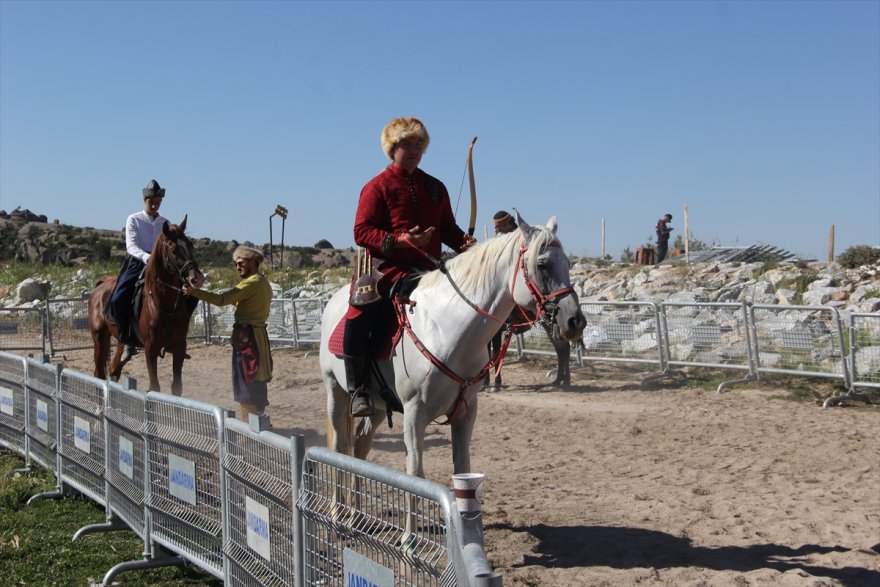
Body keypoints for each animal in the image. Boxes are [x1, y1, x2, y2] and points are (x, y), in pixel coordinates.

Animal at [86, 216, 203, 396]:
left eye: (190, 245)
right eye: (173, 250)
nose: (196, 279)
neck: (164, 304)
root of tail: (100, 286)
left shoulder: (179, 348)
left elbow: (176, 387)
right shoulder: (151, 349)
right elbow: (154, 387)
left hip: (120, 342)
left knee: (113, 370)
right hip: (99, 337)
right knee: (99, 373)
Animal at [318, 214, 584, 480]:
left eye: (567, 263)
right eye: (542, 265)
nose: (575, 320)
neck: (443, 330)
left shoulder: (465, 414)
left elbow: (462, 467)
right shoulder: (414, 415)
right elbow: (416, 476)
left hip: (381, 405)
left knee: (360, 446)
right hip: (336, 391)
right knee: (339, 449)